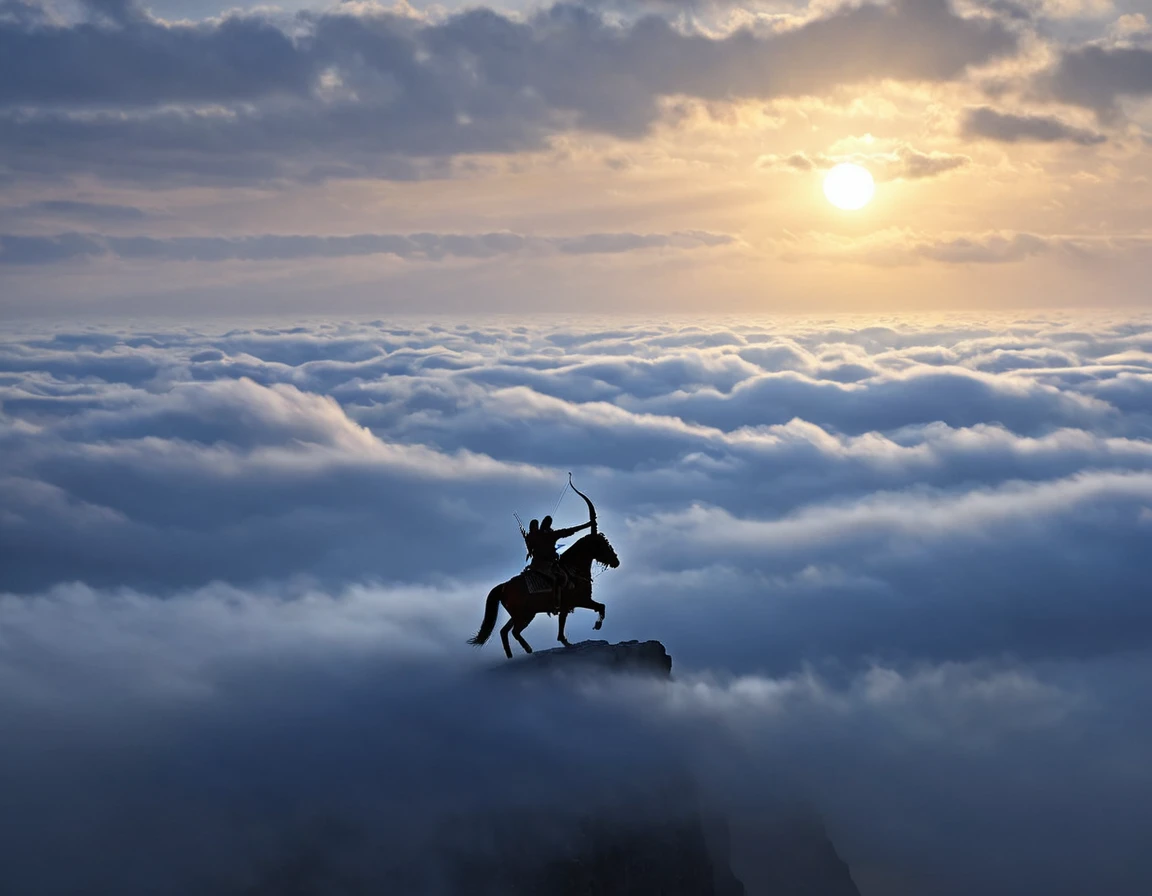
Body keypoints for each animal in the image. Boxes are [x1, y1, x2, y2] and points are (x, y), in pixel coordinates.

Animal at [467, 529, 622, 654]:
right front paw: (597, 625)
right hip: (525, 616)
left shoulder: (566, 606)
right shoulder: (582, 600)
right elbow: (601, 607)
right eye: (604, 546)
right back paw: (528, 649)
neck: (573, 570)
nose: (616, 562)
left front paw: (565, 642)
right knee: (514, 632)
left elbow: (562, 622)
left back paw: (510, 655)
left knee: (504, 631)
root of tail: (504, 586)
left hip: (519, 615)